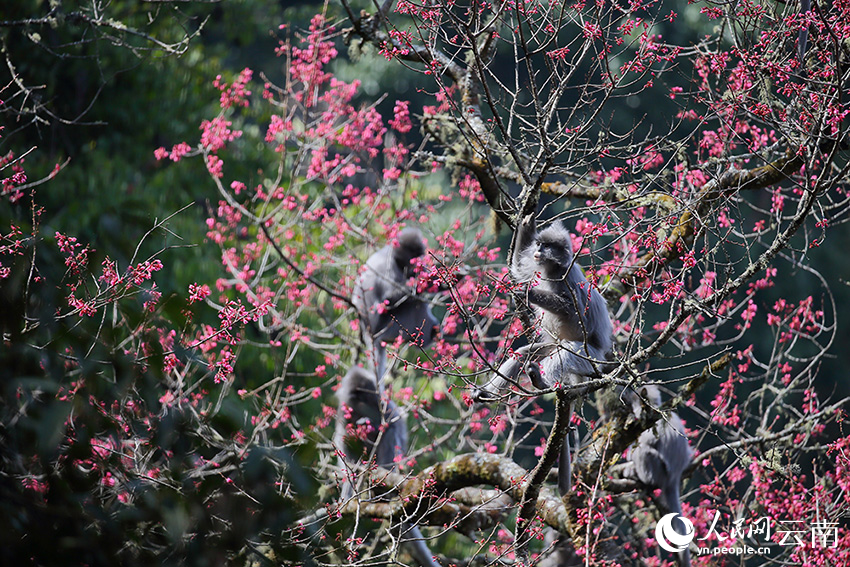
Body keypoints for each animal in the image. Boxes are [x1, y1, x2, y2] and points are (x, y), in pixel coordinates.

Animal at [334, 366, 441, 567]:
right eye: (359, 399)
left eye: (368, 397)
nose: (368, 407)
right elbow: (344, 439)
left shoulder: (384, 406)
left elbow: (391, 424)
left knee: (389, 435)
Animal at [352, 228, 440, 385]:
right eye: (413, 256)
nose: (416, 264)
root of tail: (369, 330)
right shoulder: (389, 266)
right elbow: (389, 298)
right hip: (391, 327)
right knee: (415, 303)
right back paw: (431, 331)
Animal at [474, 214, 614, 495]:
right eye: (539, 244)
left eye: (547, 246)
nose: (538, 249)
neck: (552, 271)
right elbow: (519, 268)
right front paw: (526, 224)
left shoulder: (567, 280)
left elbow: (573, 311)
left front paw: (527, 292)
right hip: (550, 347)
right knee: (523, 353)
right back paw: (488, 393)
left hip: (589, 357)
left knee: (565, 355)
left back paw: (542, 383)